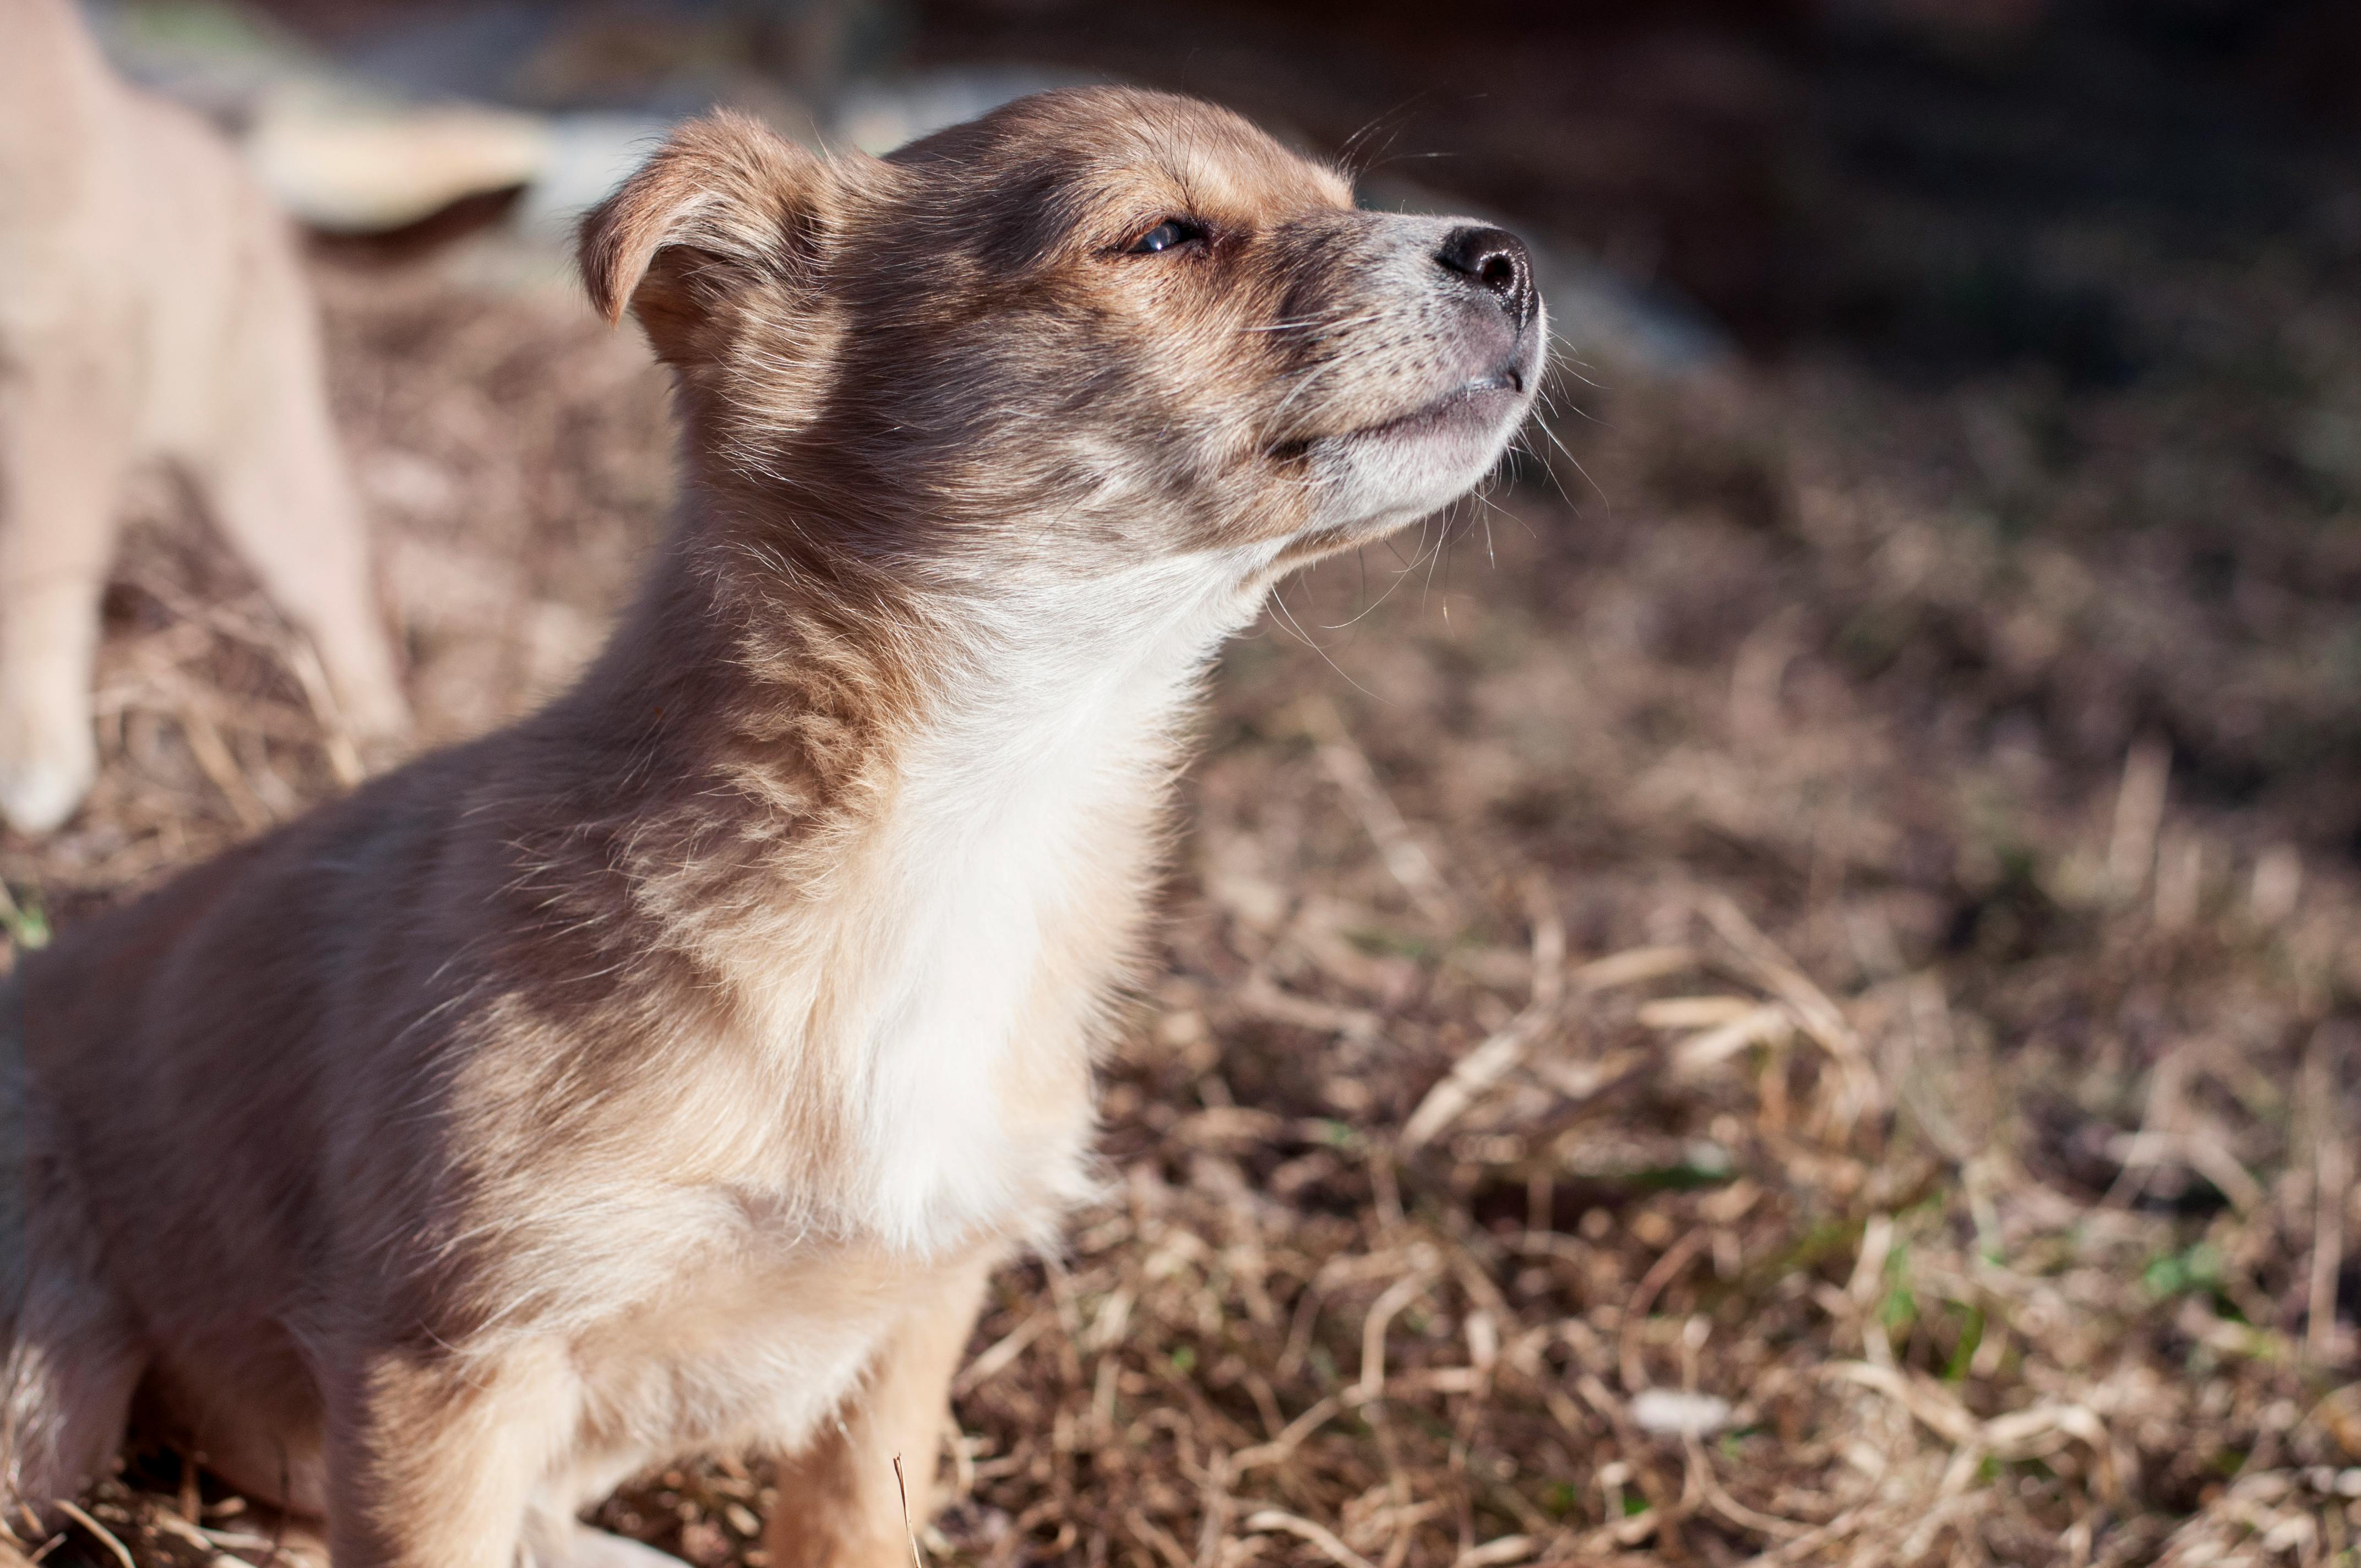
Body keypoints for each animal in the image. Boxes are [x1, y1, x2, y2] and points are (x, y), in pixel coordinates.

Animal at [0, 0, 406, 840]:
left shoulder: (66, 356)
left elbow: (35, 573)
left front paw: (33, 752)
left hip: (257, 456)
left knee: (332, 577)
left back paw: (372, 737)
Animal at [4, 88, 1548, 1567]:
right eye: (1160, 236)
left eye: (1340, 199)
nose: (1507, 257)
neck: (973, 806)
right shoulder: (446, 1355)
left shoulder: (920, 1307)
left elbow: (854, 1522)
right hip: (53, 1388)